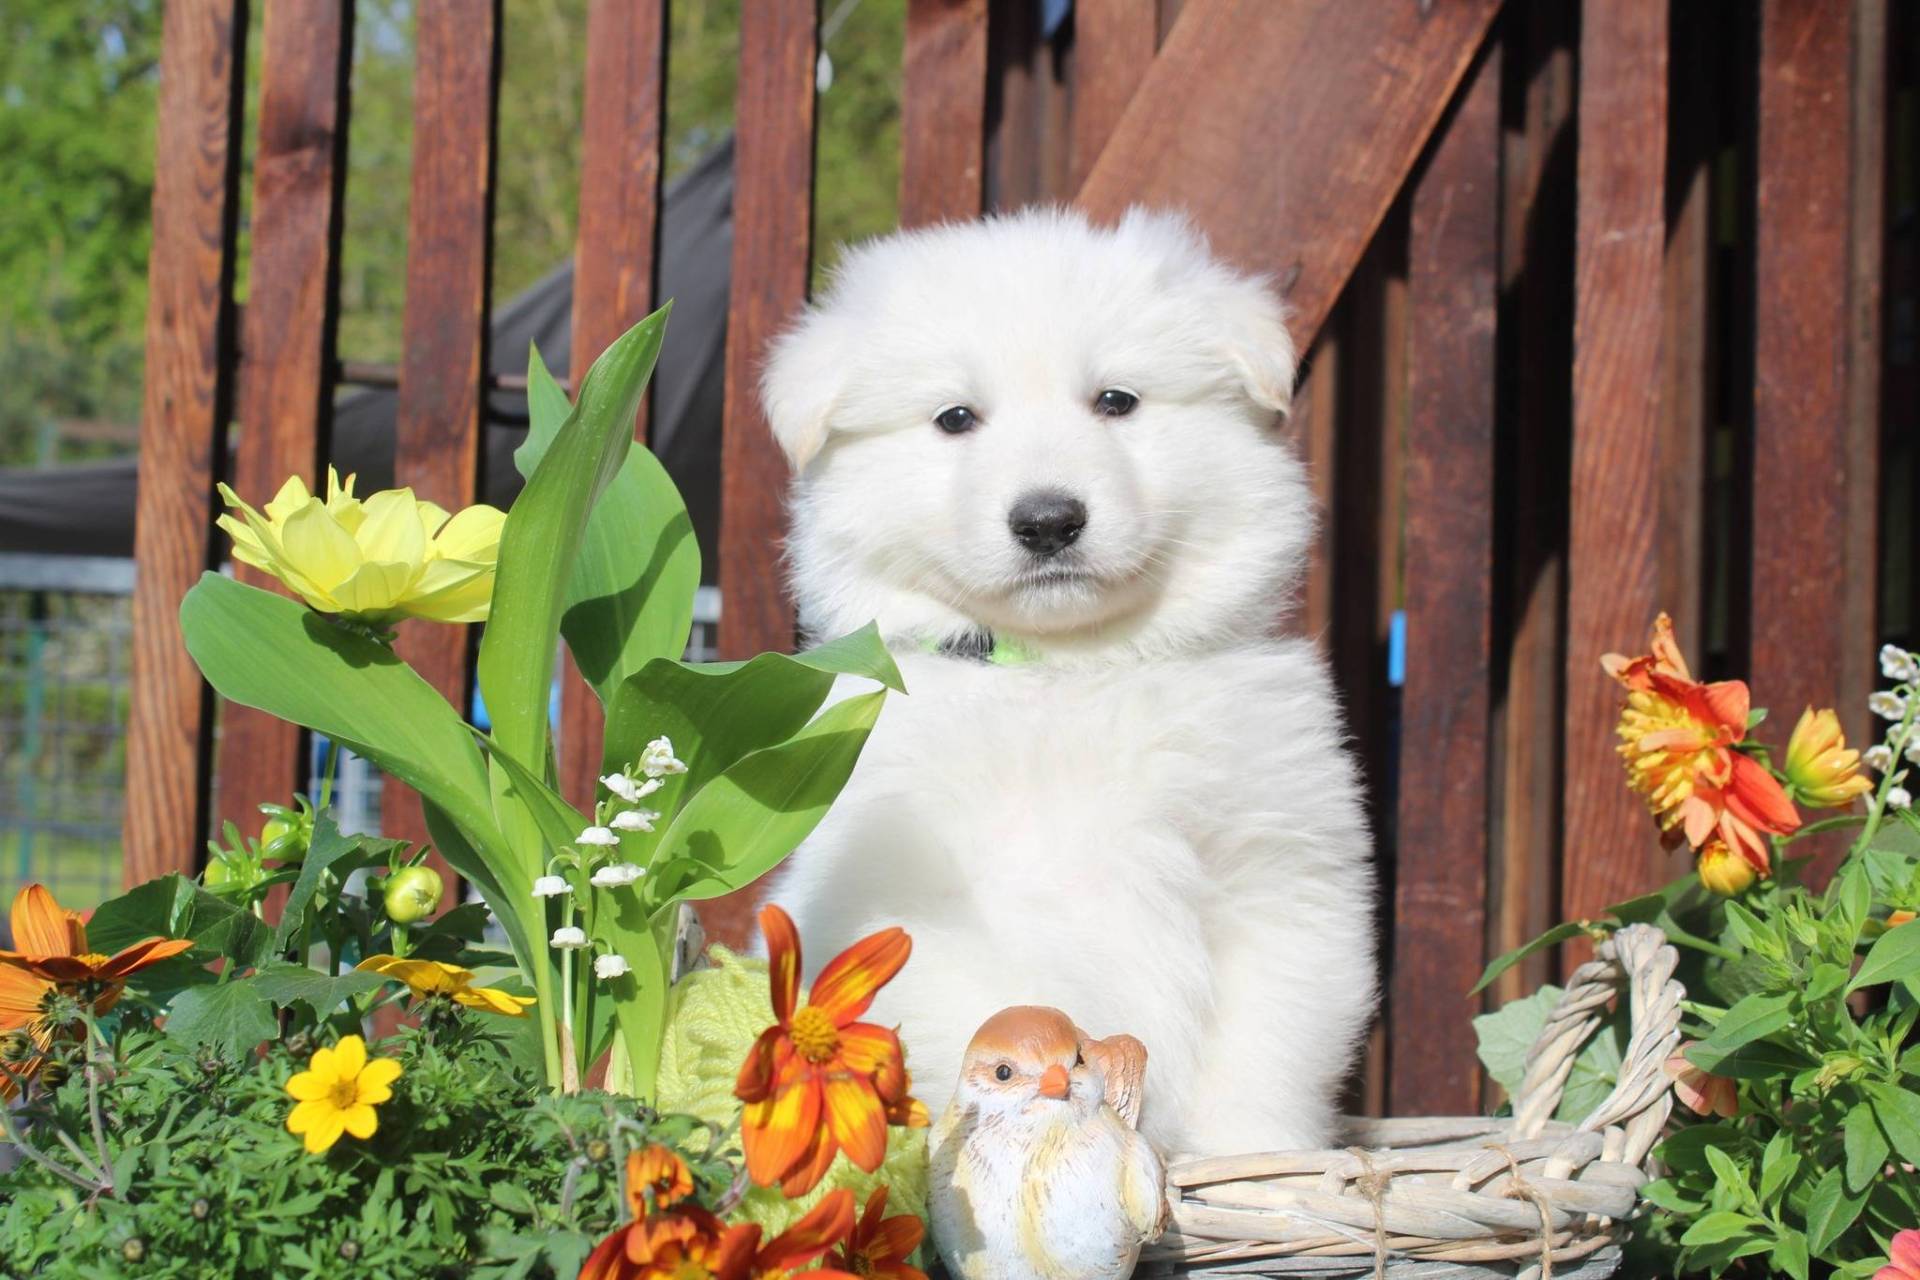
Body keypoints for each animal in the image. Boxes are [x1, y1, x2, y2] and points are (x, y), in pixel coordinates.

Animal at [756, 208, 1374, 1151]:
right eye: (956, 417)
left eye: (1116, 401)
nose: (1048, 520)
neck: (1065, 672)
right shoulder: (917, 899)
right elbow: (998, 1022)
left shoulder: (1278, 877)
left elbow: (1264, 1052)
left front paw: (1261, 1164)